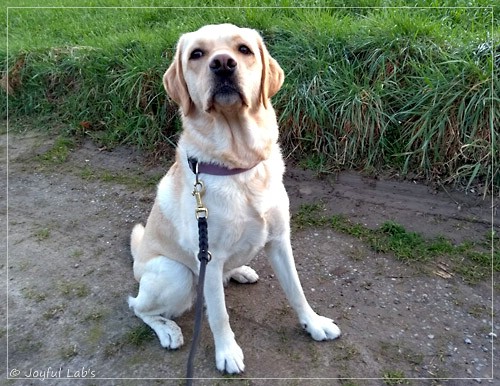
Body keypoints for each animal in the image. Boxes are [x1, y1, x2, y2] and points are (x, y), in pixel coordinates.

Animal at [127, 24, 342, 374]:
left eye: (243, 50)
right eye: (197, 54)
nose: (223, 64)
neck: (239, 163)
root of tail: (137, 265)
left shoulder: (280, 240)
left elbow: (296, 290)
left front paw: (314, 324)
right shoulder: (209, 259)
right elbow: (219, 315)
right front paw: (227, 353)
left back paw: (240, 271)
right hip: (176, 274)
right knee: (137, 306)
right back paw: (168, 330)